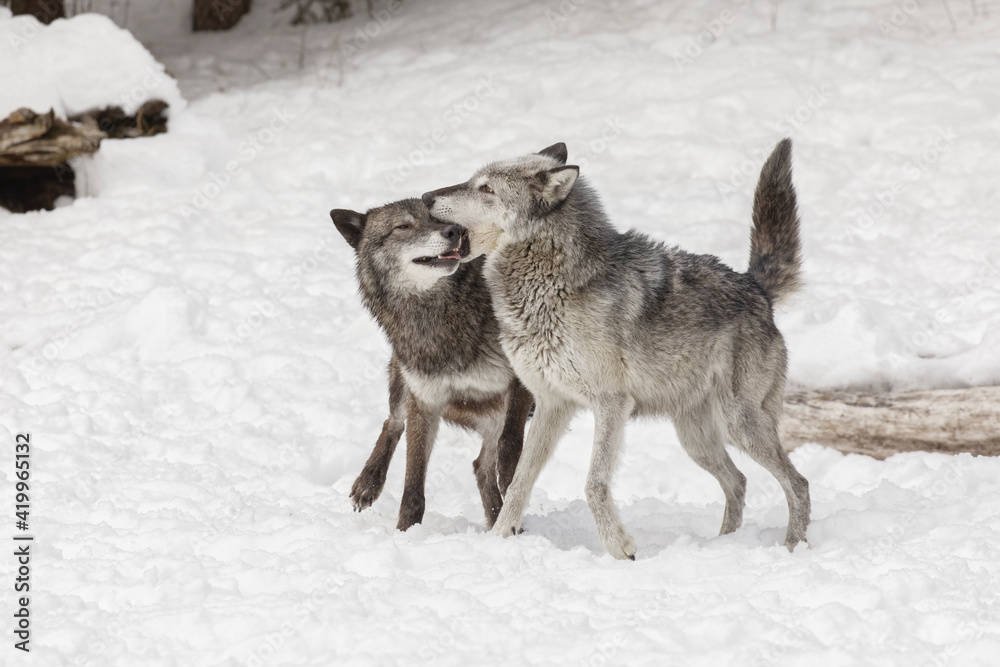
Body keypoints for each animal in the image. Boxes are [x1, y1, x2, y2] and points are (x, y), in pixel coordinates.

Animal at [330, 198, 536, 532]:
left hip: (499, 412)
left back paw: (499, 523)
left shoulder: (522, 381)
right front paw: (406, 532)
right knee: (393, 422)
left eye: (438, 217)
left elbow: (511, 445)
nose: (455, 231)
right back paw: (367, 484)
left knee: (482, 466)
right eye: (403, 226)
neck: (436, 317)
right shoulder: (426, 400)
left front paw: (511, 486)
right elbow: (413, 483)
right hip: (403, 384)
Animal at [422, 140, 812, 560]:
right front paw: (498, 539)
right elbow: (518, 482)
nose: (426, 197)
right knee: (738, 481)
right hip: (696, 439)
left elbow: (593, 483)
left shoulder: (611, 404)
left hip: (739, 424)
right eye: (473, 181)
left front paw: (619, 546)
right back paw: (723, 545)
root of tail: (756, 287)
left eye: (486, 189)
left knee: (798, 483)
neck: (549, 284)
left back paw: (793, 548)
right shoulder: (552, 404)